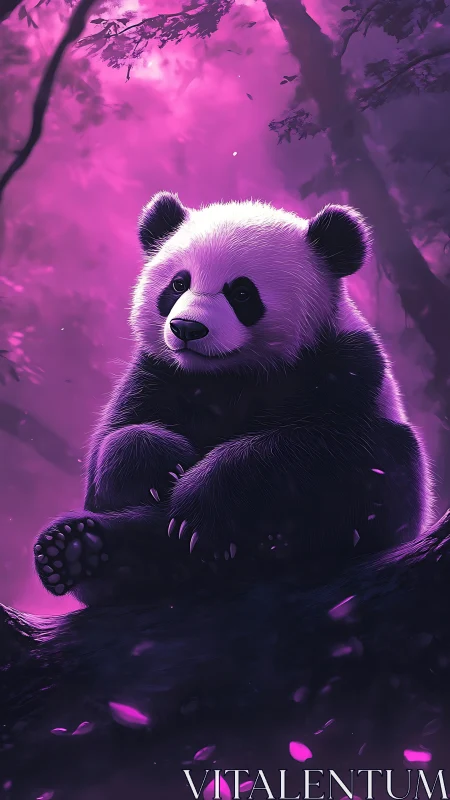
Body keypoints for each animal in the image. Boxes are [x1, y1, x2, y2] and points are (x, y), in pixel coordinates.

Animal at [34, 192, 433, 605]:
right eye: (178, 284)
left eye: (242, 293)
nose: (187, 328)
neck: (228, 373)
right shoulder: (156, 373)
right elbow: (111, 444)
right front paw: (162, 468)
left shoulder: (346, 367)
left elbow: (320, 443)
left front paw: (200, 498)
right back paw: (77, 551)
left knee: (388, 458)